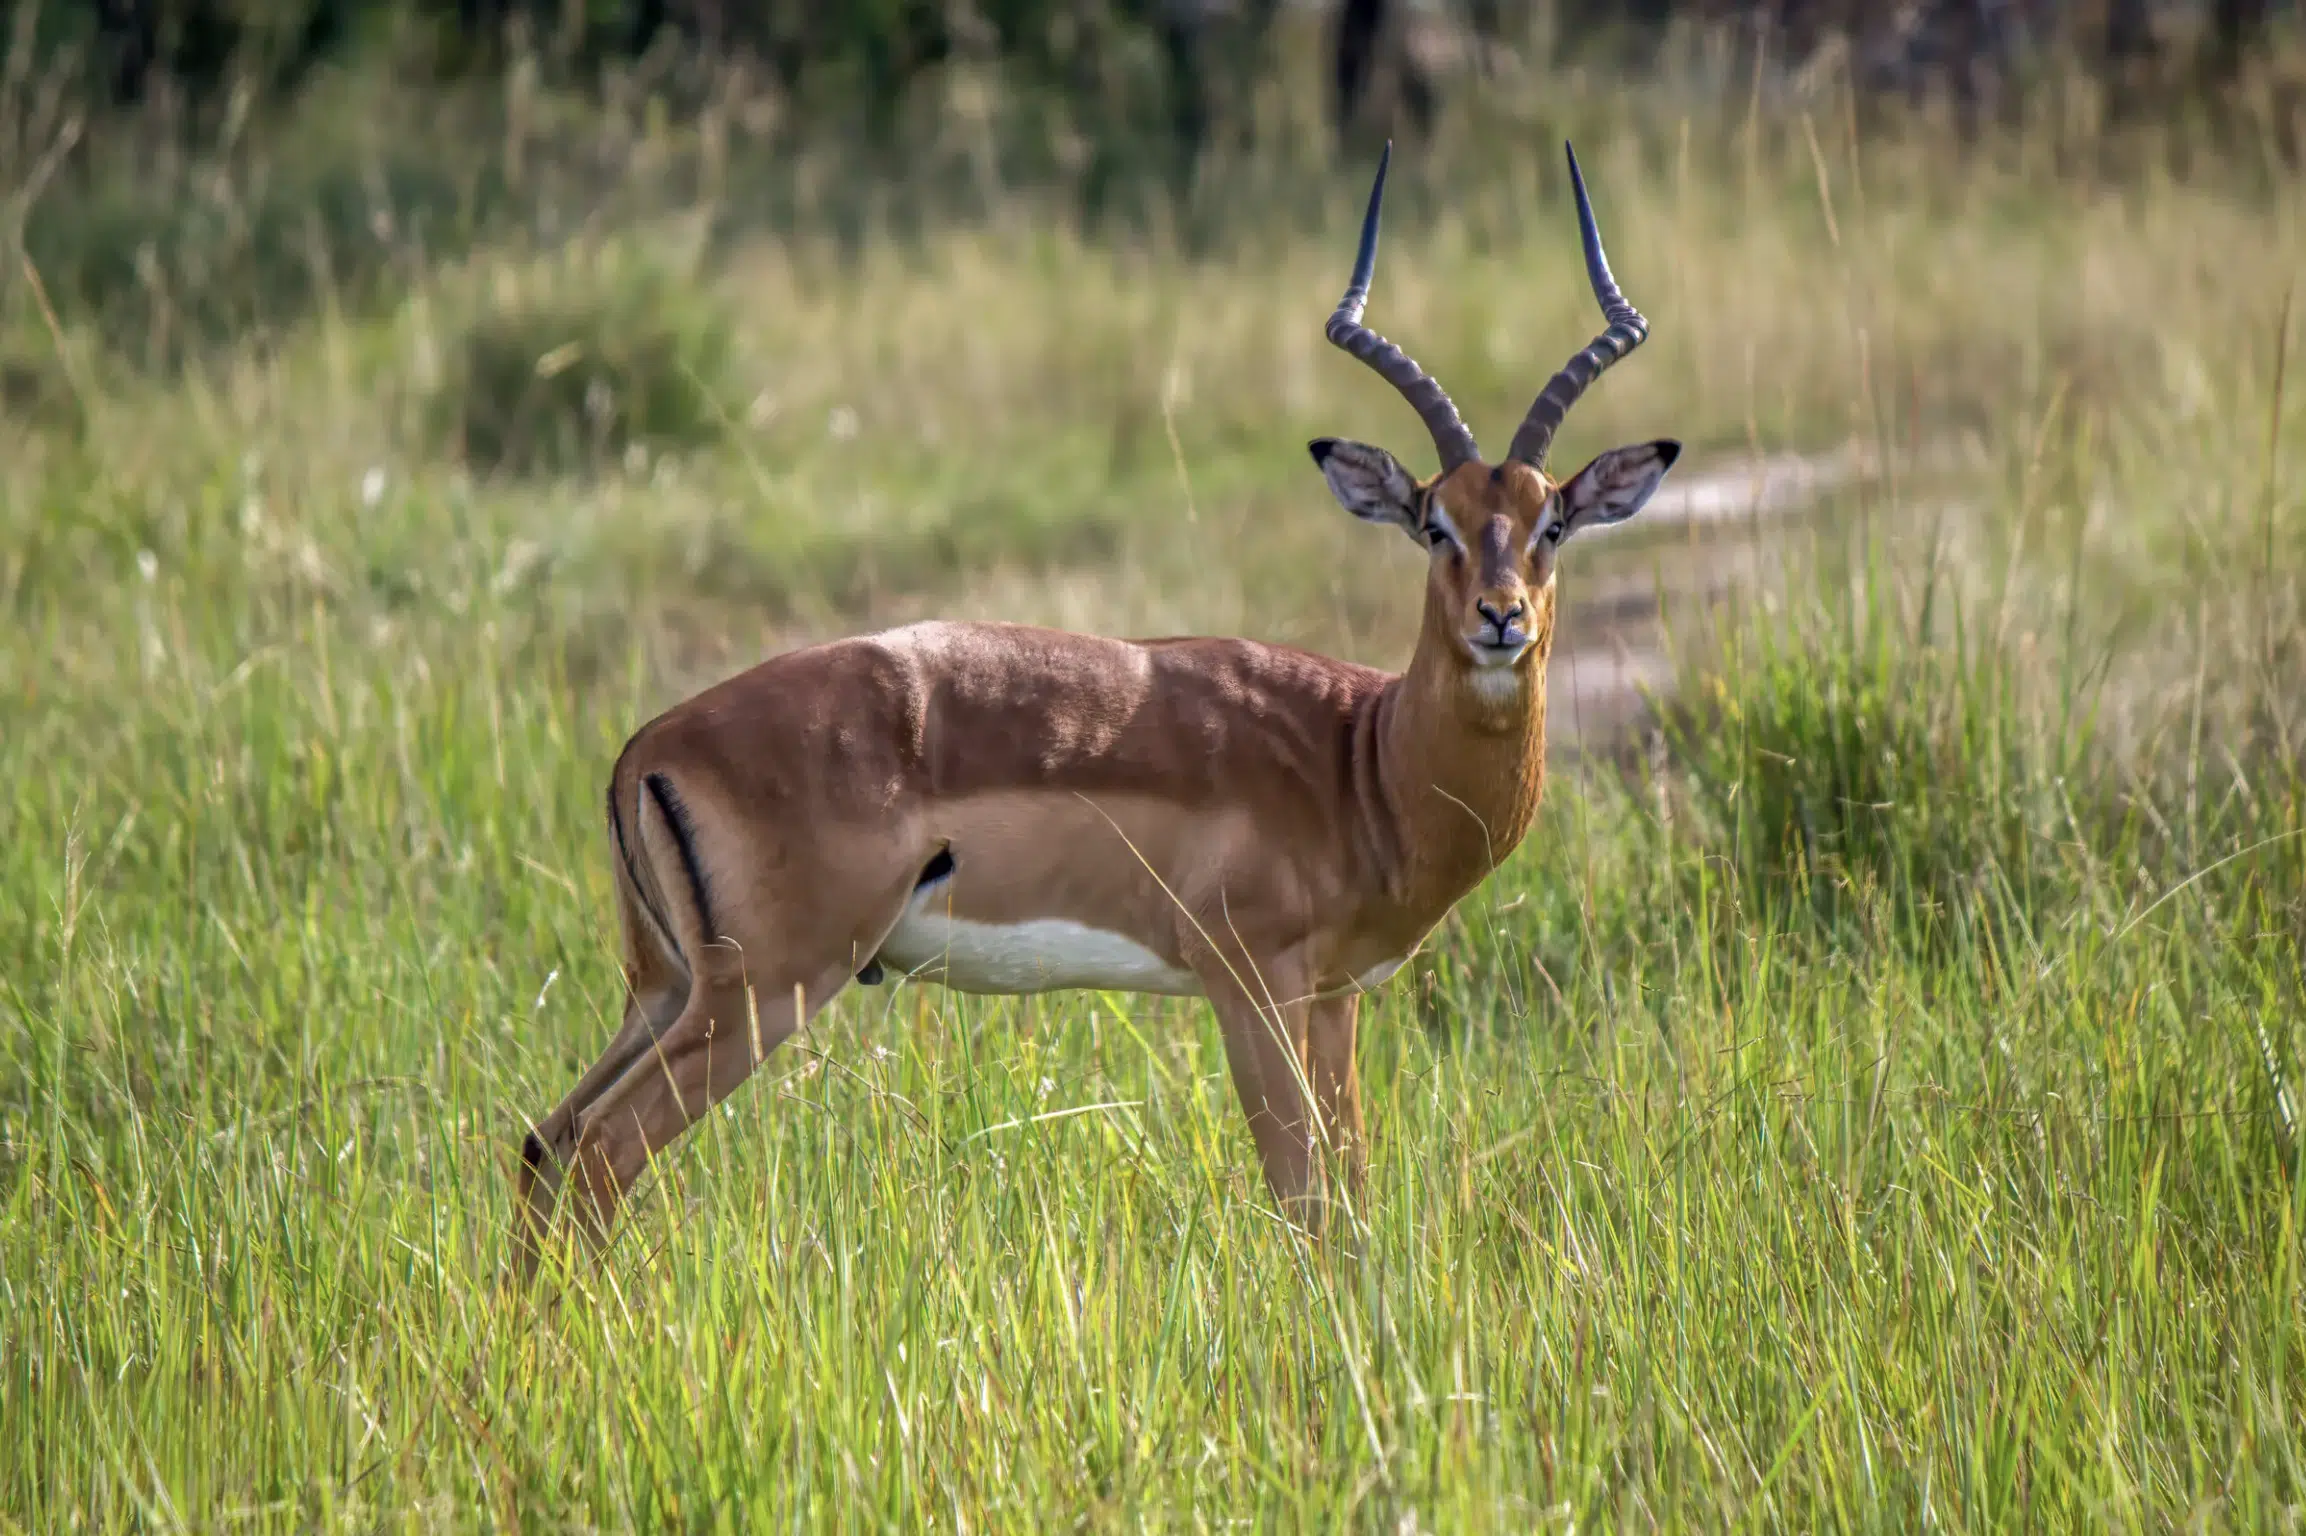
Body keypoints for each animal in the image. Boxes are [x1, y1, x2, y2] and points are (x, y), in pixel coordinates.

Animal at [514, 141, 1678, 1269]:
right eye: (1434, 524)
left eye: (1551, 524)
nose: (1501, 617)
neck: (1367, 763)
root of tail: (644, 748)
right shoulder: (1249, 983)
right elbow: (1303, 1203)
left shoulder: (1334, 999)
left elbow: (1350, 1199)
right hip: (767, 990)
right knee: (600, 1152)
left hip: (666, 991)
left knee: (543, 1143)